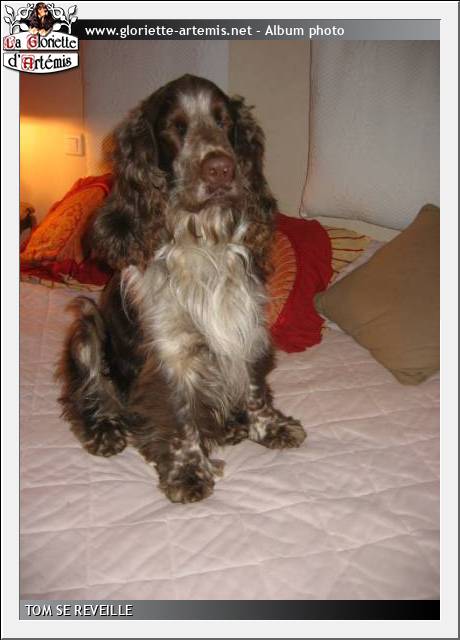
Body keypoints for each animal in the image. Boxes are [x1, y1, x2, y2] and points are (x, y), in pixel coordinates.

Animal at [58, 74, 306, 503]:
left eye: (225, 122)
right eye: (174, 128)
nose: (221, 168)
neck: (202, 239)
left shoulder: (245, 326)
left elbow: (255, 387)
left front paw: (270, 427)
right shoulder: (170, 350)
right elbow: (180, 413)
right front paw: (188, 471)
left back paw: (231, 426)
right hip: (87, 325)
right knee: (89, 394)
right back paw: (105, 430)